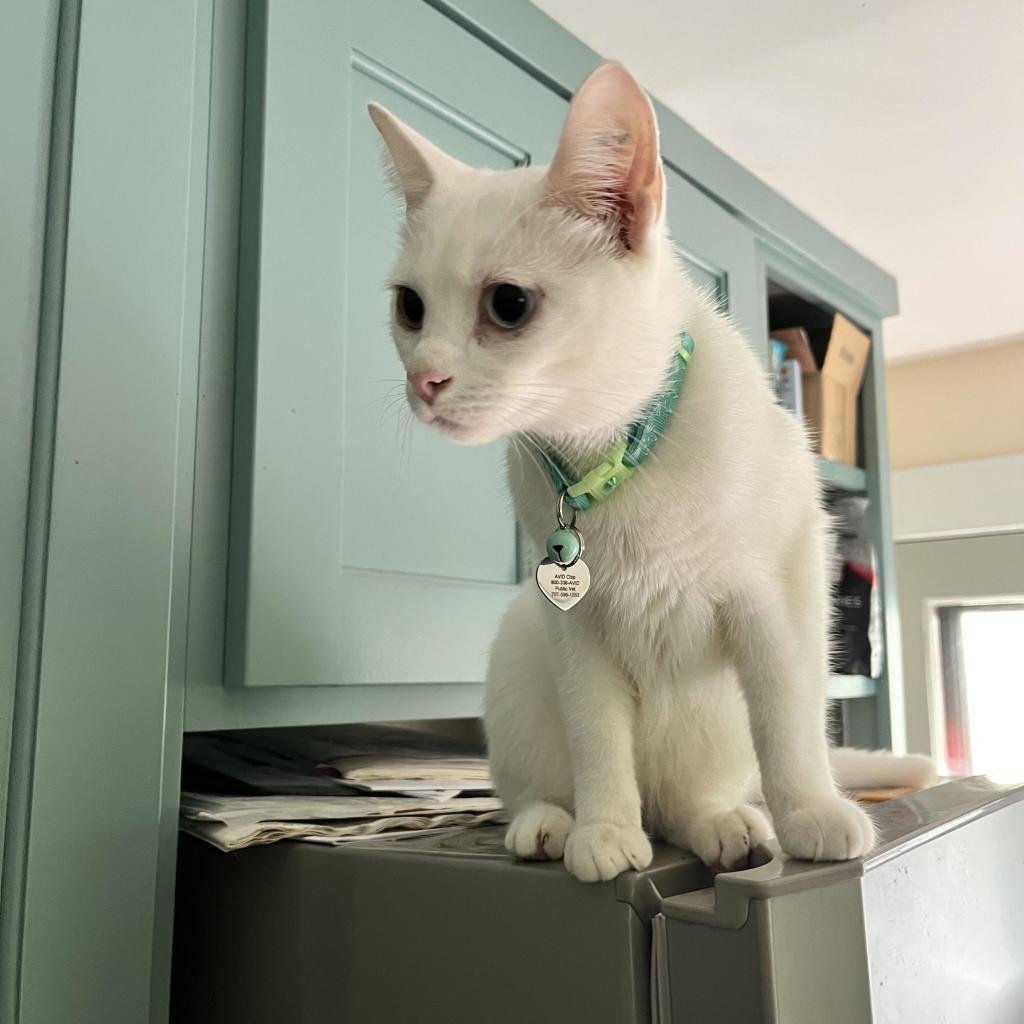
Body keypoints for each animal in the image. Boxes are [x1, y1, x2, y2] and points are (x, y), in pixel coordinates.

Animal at [370, 61, 937, 880]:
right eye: (411, 308)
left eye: (508, 304)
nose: (425, 379)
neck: (614, 455)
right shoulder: (575, 630)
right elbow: (598, 738)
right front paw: (605, 828)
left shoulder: (777, 600)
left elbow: (788, 722)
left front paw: (809, 811)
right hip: (518, 645)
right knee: (546, 788)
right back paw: (551, 824)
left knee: (693, 799)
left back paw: (732, 824)